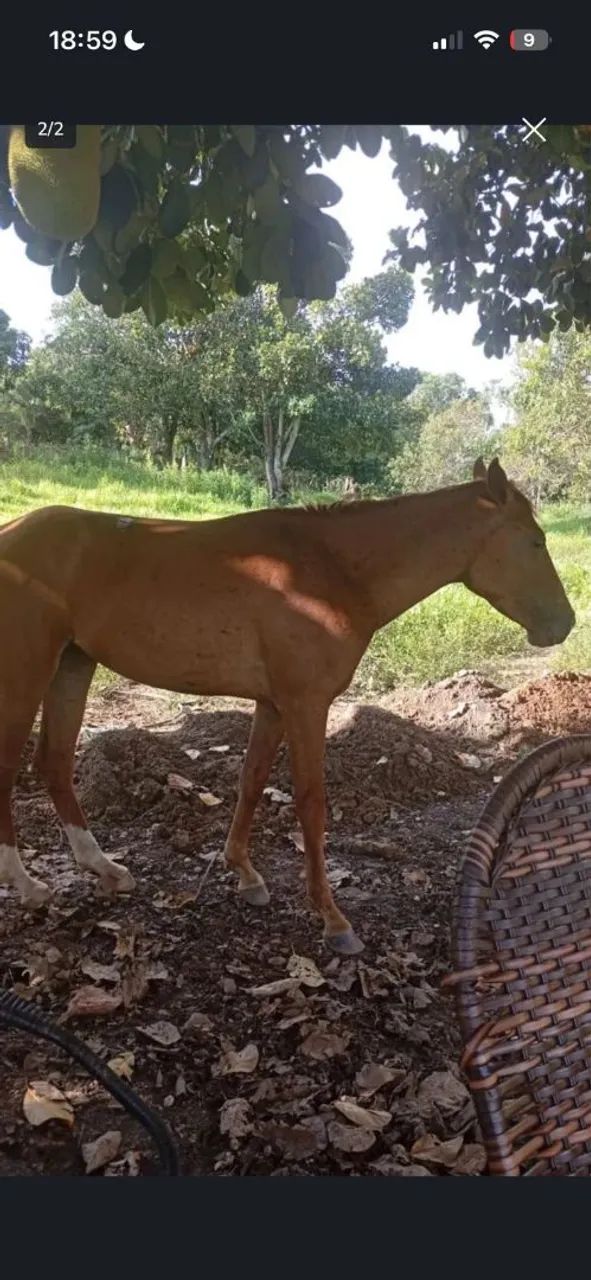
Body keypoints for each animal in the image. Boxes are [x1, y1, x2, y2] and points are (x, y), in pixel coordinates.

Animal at [0, 458, 575, 954]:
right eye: (535, 540)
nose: (565, 623)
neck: (335, 568)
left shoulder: (273, 704)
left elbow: (252, 781)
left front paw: (244, 873)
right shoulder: (306, 704)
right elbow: (310, 803)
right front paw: (332, 917)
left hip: (72, 666)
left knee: (54, 763)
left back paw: (104, 868)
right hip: (25, 674)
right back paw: (28, 886)